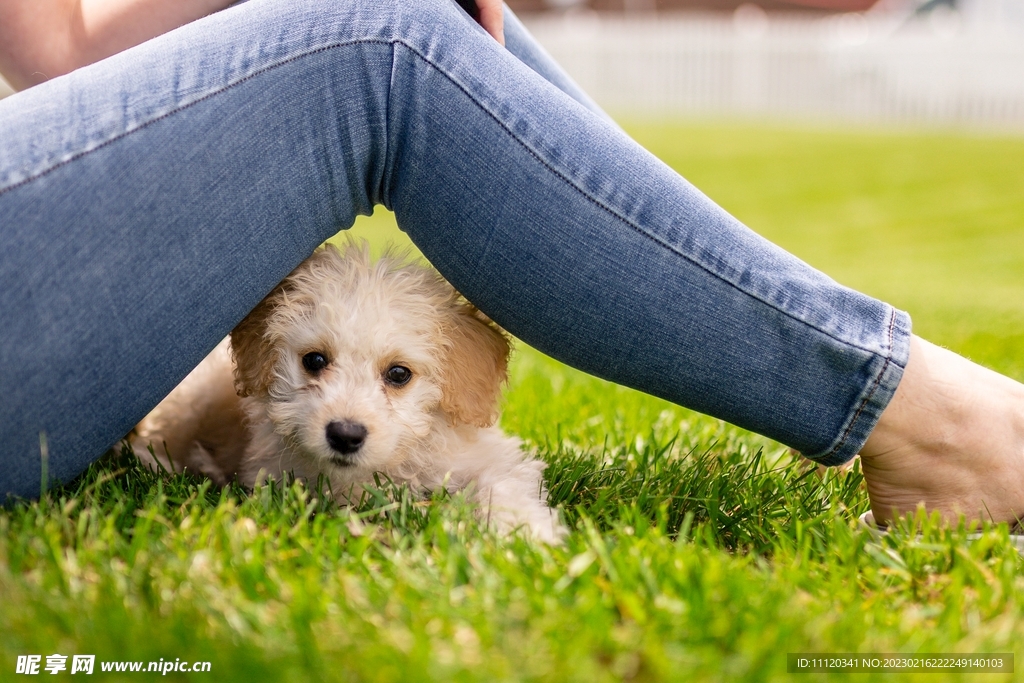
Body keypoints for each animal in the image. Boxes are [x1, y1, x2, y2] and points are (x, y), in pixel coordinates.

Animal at [131, 242, 565, 540]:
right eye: (314, 361)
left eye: (399, 373)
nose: (345, 435)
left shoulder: (489, 456)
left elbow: (504, 483)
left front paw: (525, 534)